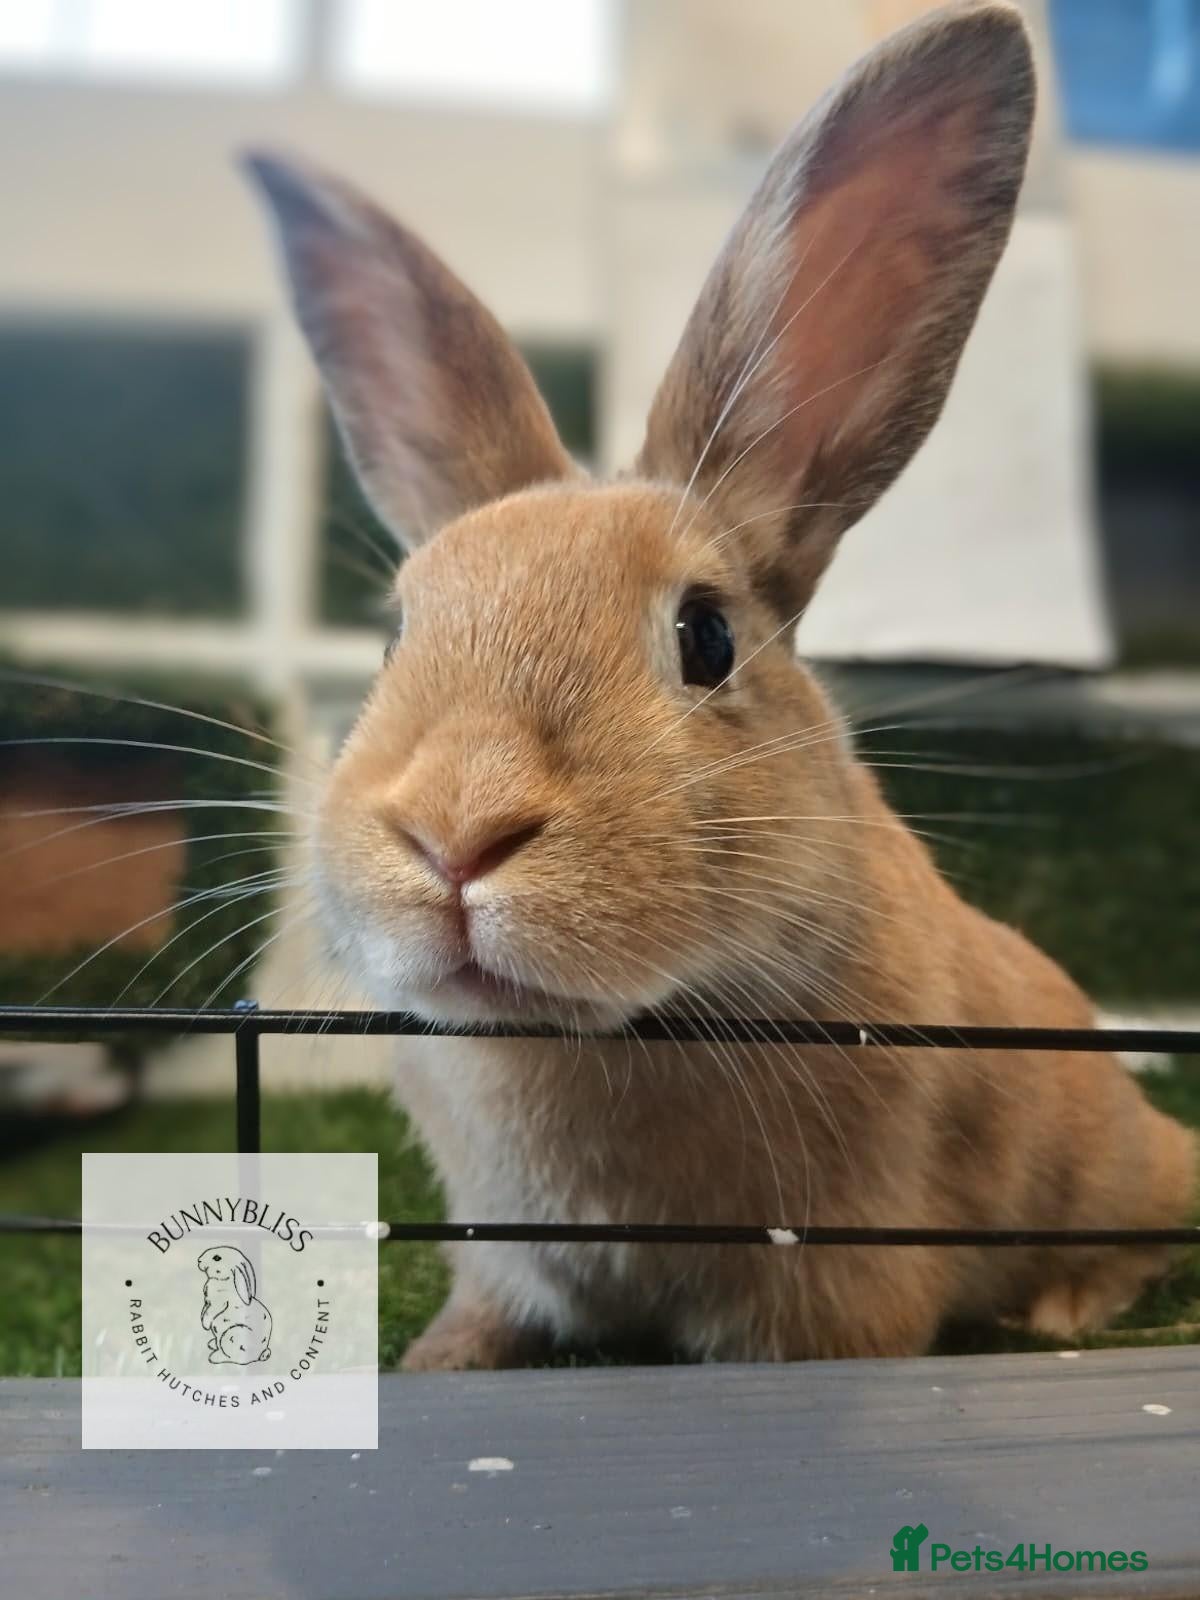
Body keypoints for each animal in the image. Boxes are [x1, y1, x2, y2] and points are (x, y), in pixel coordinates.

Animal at [244, 0, 1196, 1370]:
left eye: (705, 636)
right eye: (393, 635)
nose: (456, 836)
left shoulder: (832, 1288)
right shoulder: (504, 1260)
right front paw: (427, 1367)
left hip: (1112, 1165)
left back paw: (1065, 1310)